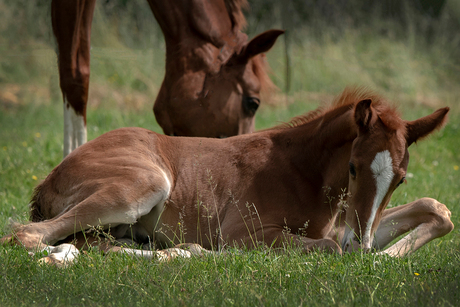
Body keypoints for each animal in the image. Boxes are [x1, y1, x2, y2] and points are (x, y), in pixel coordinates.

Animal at [0, 88, 452, 266]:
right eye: (355, 166)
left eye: (400, 180)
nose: (360, 242)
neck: (304, 171)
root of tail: (49, 178)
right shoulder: (244, 232)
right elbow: (328, 247)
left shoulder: (352, 225)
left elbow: (437, 208)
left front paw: (384, 256)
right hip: (145, 184)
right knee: (27, 235)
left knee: (94, 244)